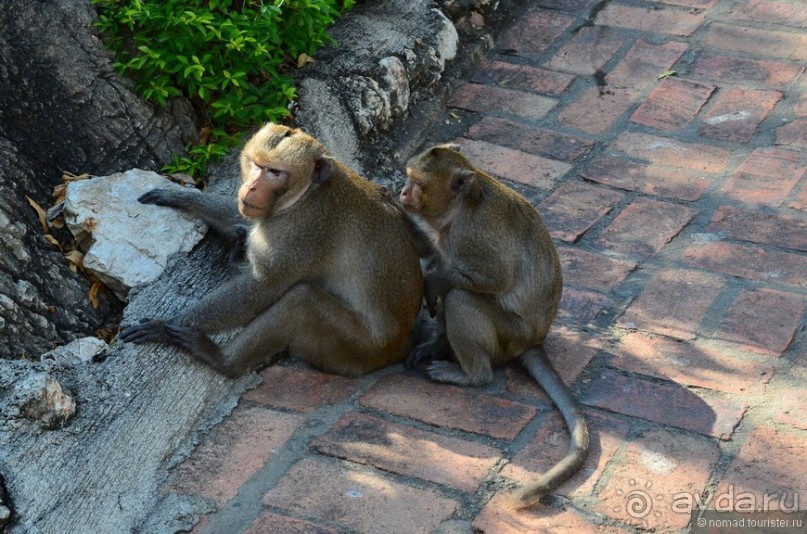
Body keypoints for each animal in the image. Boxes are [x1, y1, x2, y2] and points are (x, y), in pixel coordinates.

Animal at [121, 123, 422, 378]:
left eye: (275, 173)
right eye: (256, 165)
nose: (251, 187)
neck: (306, 194)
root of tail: (401, 343)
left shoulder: (302, 229)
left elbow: (263, 288)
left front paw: (163, 325)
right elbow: (242, 217)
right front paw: (183, 197)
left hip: (357, 348)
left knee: (300, 301)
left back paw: (222, 360)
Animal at [400, 143, 592, 510]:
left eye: (418, 182)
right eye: (407, 178)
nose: (402, 192)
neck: (459, 211)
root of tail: (534, 340)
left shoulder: (475, 235)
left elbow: (493, 277)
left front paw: (433, 282)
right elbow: (438, 258)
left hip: (509, 335)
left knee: (460, 297)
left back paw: (470, 374)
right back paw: (440, 345)